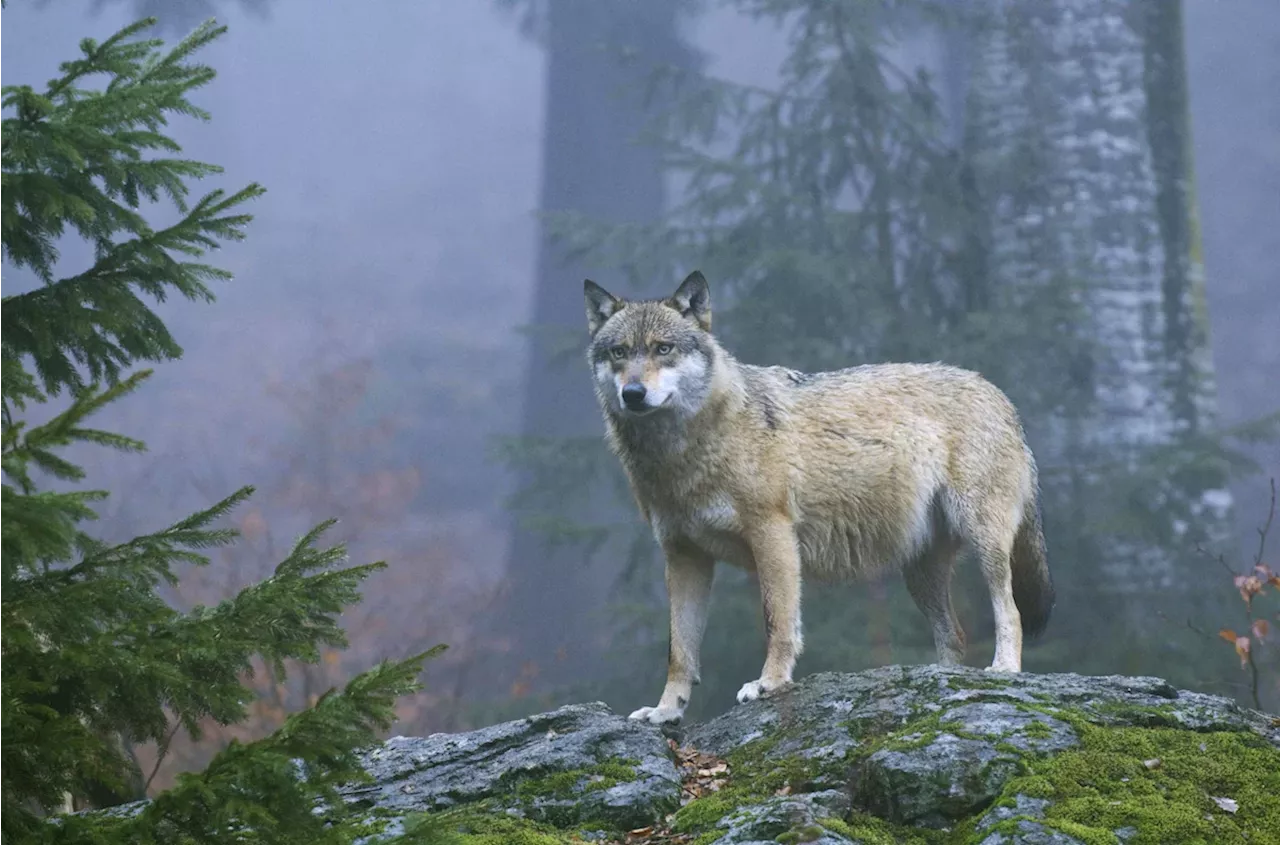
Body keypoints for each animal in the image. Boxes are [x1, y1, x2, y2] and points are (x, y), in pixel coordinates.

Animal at [586, 270, 1054, 727]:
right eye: (619, 353)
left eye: (662, 349)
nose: (633, 394)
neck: (686, 451)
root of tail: (1000, 396)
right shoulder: (683, 555)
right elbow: (679, 651)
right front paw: (666, 710)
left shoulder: (772, 533)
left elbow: (777, 621)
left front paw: (769, 684)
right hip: (920, 573)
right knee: (954, 635)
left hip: (984, 540)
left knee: (1009, 611)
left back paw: (1003, 670)